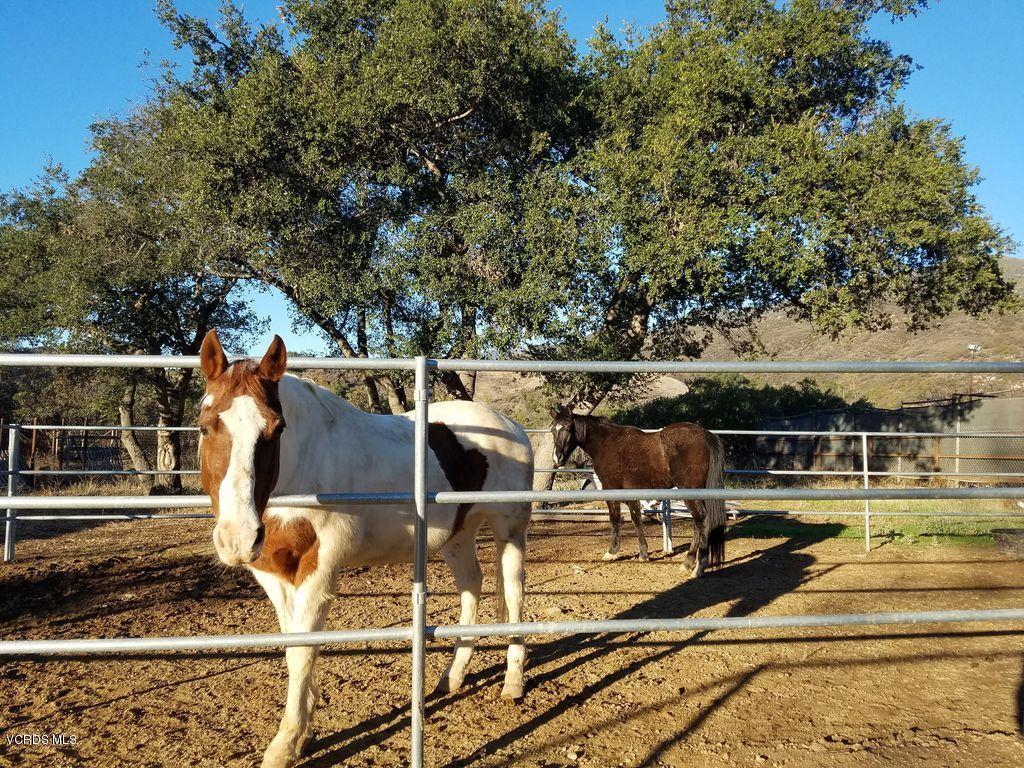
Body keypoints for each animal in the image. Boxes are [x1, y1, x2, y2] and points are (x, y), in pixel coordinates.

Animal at [197, 330, 534, 768]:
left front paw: (286, 742)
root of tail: (514, 427)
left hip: (510, 529)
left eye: (277, 428)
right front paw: (305, 721)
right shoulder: (274, 573)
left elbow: (303, 649)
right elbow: (292, 644)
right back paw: (452, 677)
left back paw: (513, 683)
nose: (237, 537)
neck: (303, 469)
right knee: (471, 586)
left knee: (514, 593)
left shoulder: (318, 571)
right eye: (205, 427)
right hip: (458, 534)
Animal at [549, 407, 726, 578]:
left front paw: (612, 552)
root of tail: (707, 435)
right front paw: (643, 554)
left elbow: (615, 520)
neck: (606, 443)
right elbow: (636, 520)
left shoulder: (611, 489)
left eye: (568, 428)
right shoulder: (631, 492)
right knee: (697, 523)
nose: (557, 459)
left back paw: (699, 567)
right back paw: (687, 563)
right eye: (552, 429)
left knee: (702, 520)